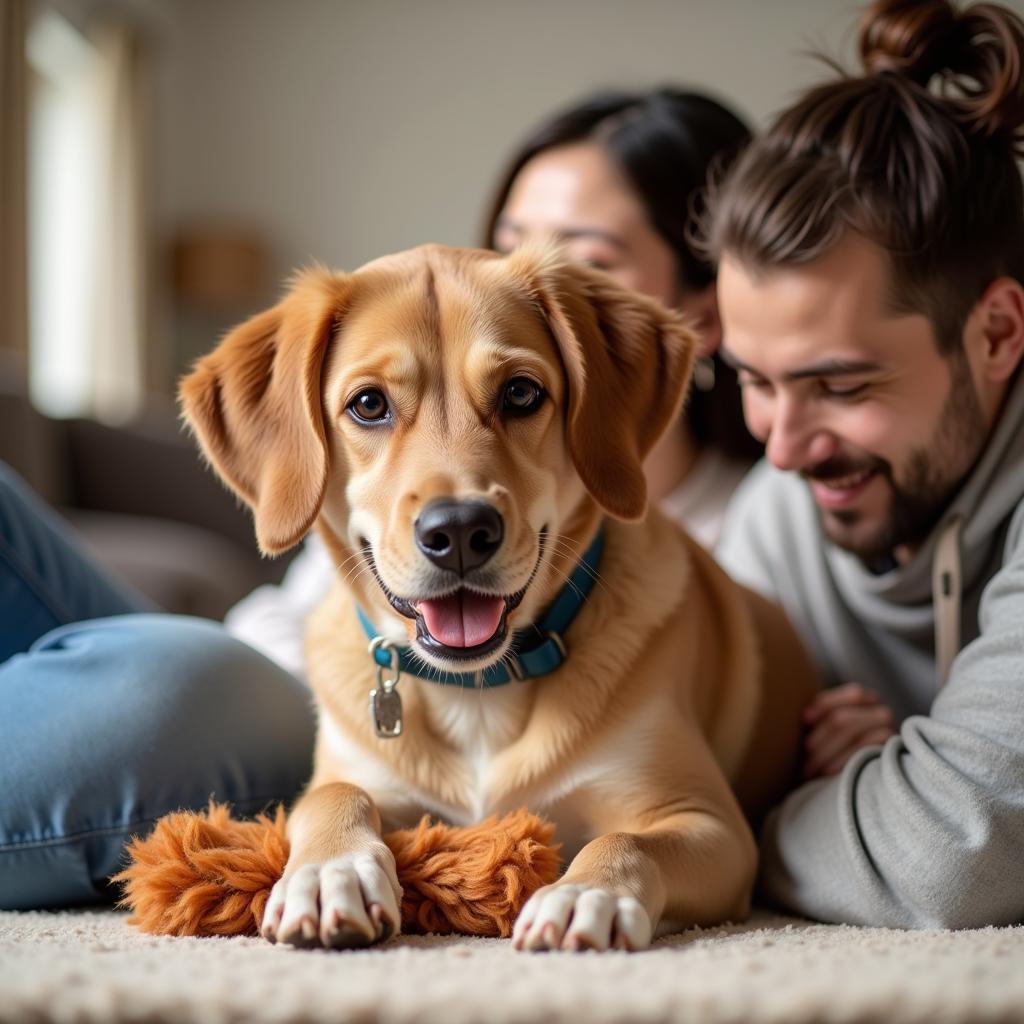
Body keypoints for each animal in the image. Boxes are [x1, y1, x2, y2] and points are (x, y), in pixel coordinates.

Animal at [178, 243, 815, 954]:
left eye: (521, 392)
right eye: (368, 404)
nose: (458, 530)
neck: (479, 693)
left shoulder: (712, 824)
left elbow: (625, 840)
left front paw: (584, 893)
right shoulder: (352, 777)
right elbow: (332, 800)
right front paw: (329, 871)